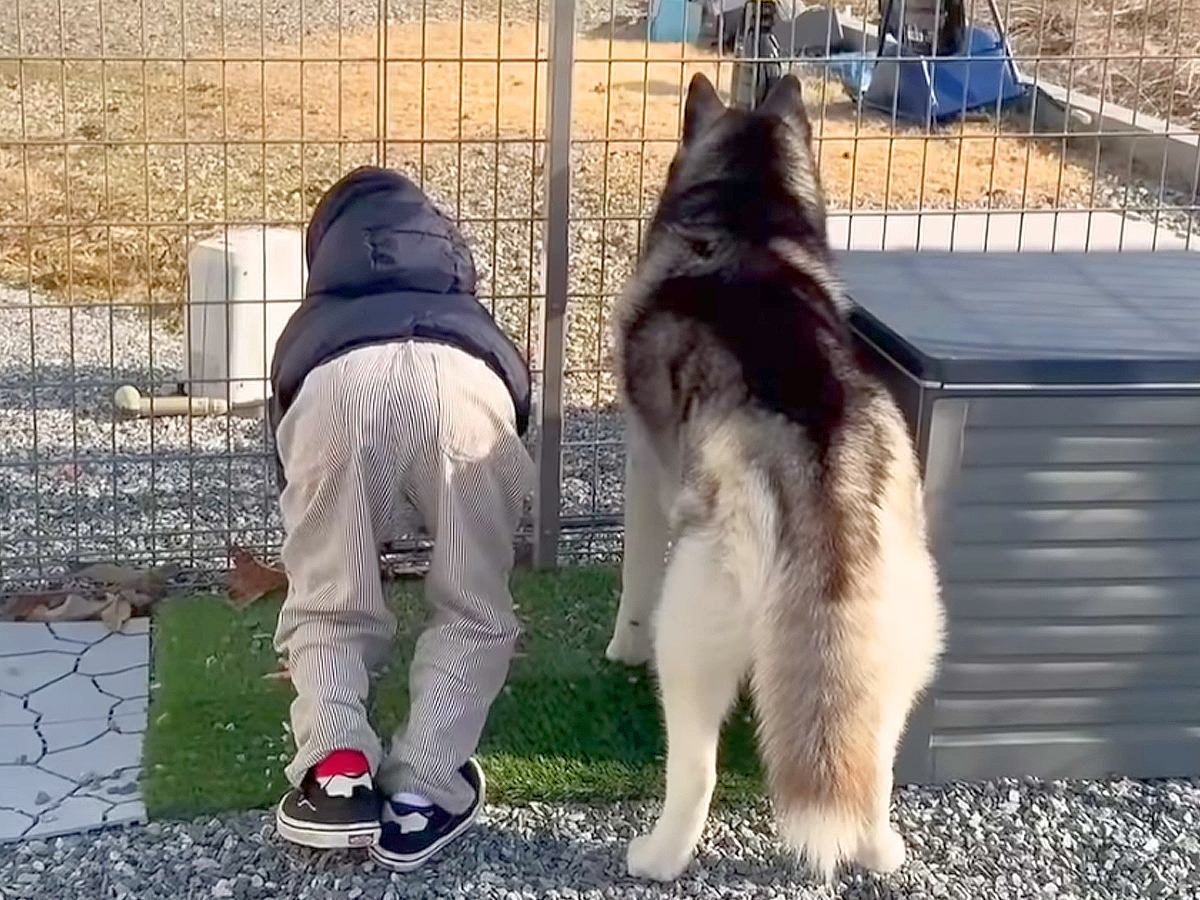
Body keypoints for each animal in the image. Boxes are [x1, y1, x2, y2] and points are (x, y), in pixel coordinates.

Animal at [609, 74, 945, 883]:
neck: (744, 220)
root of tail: (819, 460)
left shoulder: (644, 465)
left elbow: (633, 579)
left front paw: (618, 647)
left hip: (693, 629)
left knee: (695, 771)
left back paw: (657, 857)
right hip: (906, 637)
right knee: (873, 759)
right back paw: (877, 847)